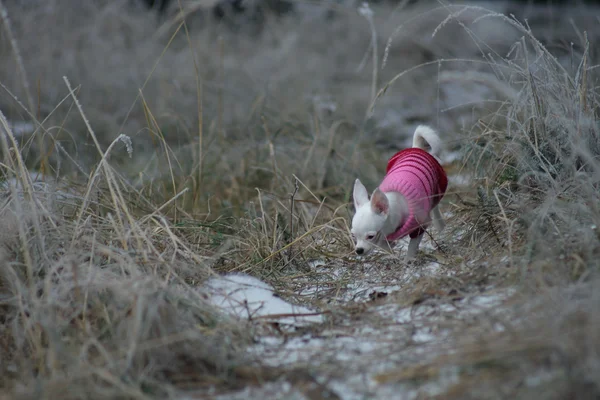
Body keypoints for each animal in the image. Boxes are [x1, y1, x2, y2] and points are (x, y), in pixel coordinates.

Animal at [352, 125, 446, 260]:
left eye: (370, 236)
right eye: (353, 236)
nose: (359, 250)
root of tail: (416, 148)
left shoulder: (420, 225)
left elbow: (412, 245)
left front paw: (408, 260)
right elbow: (384, 244)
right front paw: (391, 246)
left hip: (437, 189)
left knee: (435, 208)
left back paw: (440, 225)